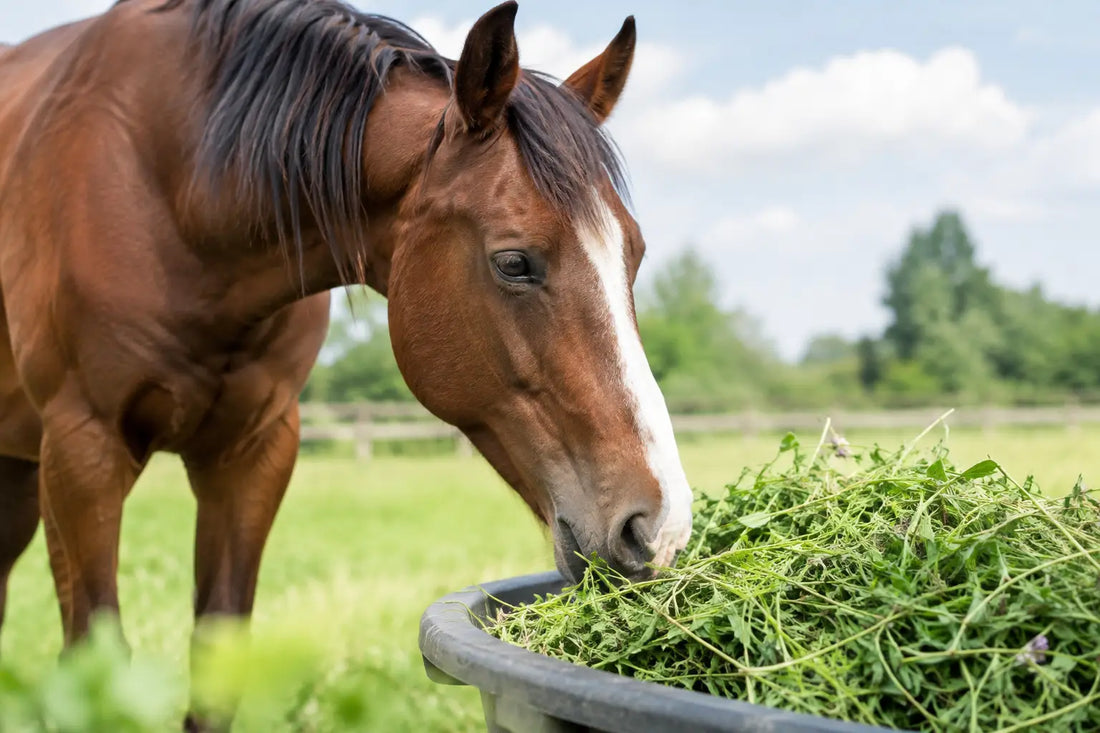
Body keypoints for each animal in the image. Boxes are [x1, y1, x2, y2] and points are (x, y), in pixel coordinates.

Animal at [0, 0, 694, 728]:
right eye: (513, 261)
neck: (173, 182)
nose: (661, 525)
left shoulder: (253, 453)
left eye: (633, 254)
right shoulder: (83, 452)